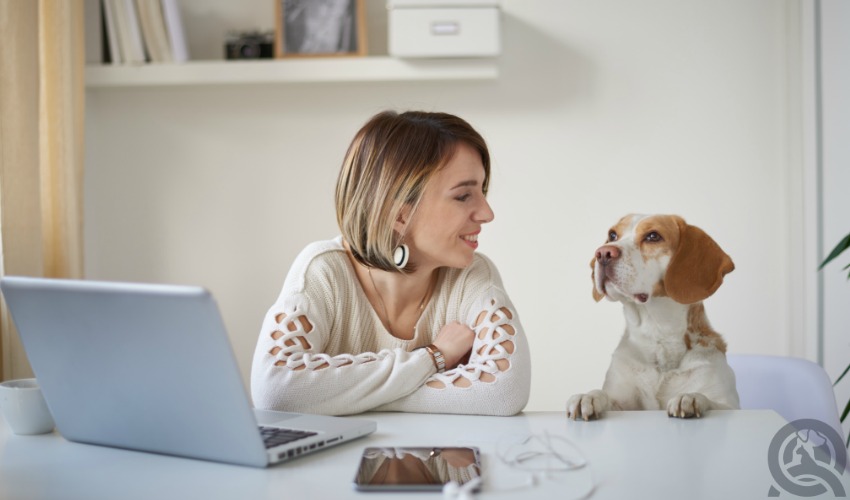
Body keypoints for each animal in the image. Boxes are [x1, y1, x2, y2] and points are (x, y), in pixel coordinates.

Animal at [568, 213, 740, 420]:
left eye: (653, 236)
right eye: (612, 235)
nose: (602, 253)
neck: (657, 333)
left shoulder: (729, 404)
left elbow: (711, 401)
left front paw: (690, 397)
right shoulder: (623, 401)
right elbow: (605, 396)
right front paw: (589, 396)